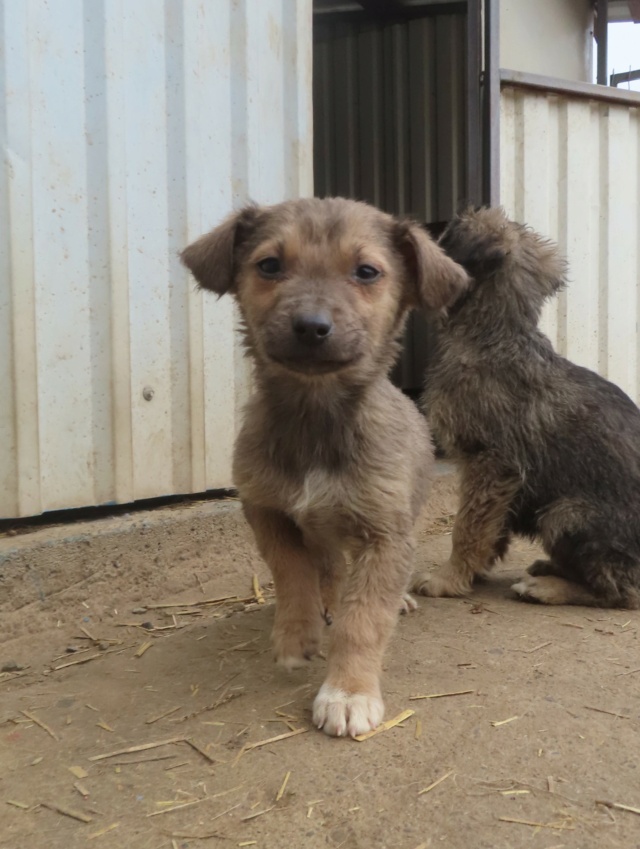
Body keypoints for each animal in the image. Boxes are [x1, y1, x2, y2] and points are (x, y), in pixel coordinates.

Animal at [181, 197, 470, 736]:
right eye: (270, 265)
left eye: (366, 271)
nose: (311, 327)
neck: (316, 418)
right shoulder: (267, 511)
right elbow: (292, 572)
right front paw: (297, 634)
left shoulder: (385, 533)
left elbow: (365, 620)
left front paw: (349, 692)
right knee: (332, 568)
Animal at [416, 209, 640, 608]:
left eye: (451, 229)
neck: (495, 336)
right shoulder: (495, 478)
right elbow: (489, 528)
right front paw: (472, 572)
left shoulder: (489, 462)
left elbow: (467, 527)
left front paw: (448, 579)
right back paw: (550, 569)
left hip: (566, 514)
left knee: (619, 591)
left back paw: (547, 587)